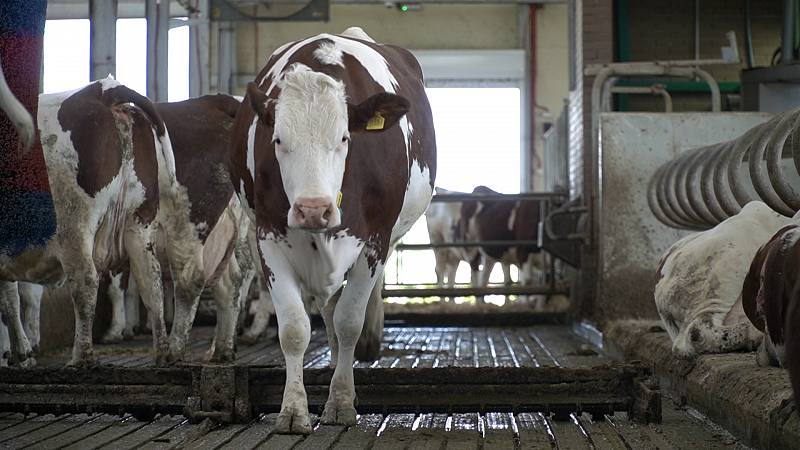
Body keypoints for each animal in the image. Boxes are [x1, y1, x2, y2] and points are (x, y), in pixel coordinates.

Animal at [0, 77, 174, 366]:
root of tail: (103, 91)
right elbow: (10, 300)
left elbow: (9, 302)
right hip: (140, 221)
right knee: (151, 281)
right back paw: (163, 355)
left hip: (73, 228)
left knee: (85, 281)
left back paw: (81, 357)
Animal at [228, 27, 434, 432]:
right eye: (278, 140)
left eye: (343, 138)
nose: (313, 209)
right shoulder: (268, 236)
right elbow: (294, 328)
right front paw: (293, 410)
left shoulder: (375, 240)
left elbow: (349, 320)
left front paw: (340, 402)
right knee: (327, 309)